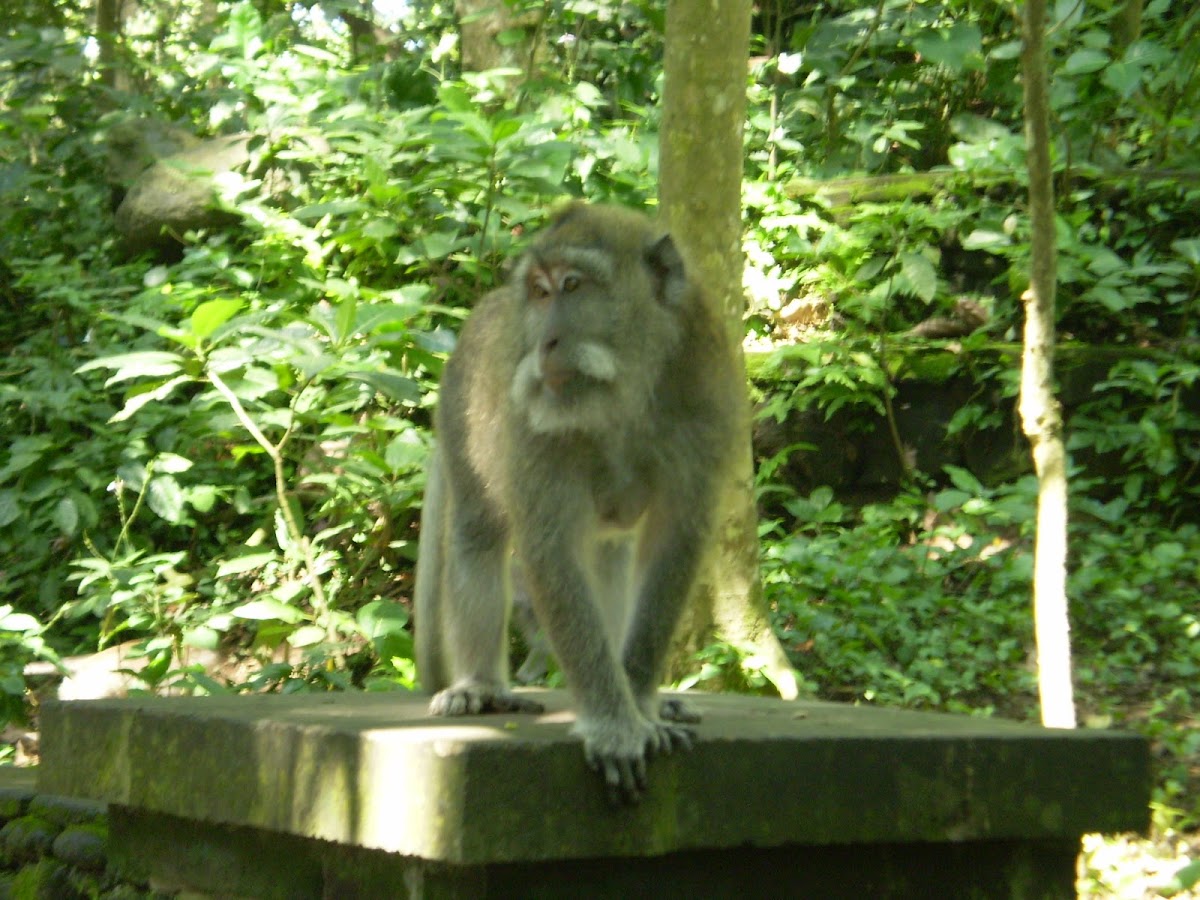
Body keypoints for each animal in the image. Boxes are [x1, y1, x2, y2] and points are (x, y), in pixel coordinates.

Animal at [417, 202, 744, 801]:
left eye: (573, 286)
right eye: (540, 293)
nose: (542, 343)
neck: (624, 395)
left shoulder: (704, 409)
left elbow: (673, 547)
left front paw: (640, 706)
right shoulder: (538, 436)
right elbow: (550, 551)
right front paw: (615, 727)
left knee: (611, 555)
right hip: (458, 415)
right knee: (477, 537)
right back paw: (479, 685)